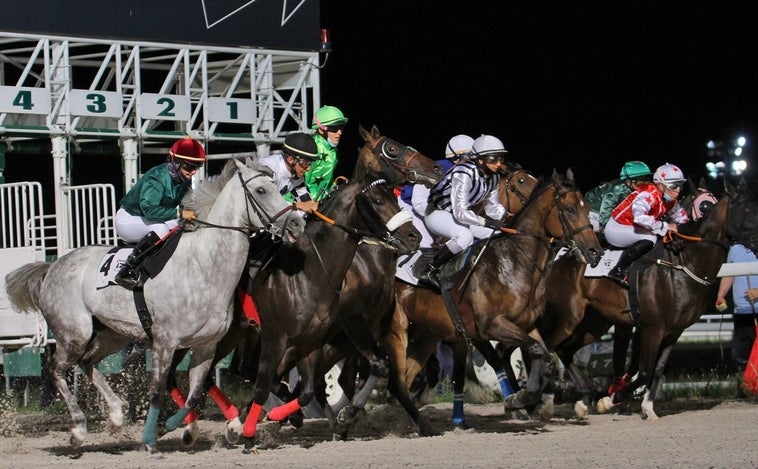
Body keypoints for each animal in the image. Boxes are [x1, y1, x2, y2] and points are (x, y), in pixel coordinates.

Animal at [3, 159, 306, 456]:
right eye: (261, 191)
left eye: (277, 188)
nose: (295, 222)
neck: (204, 267)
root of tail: (52, 267)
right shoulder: (164, 342)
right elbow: (157, 391)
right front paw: (152, 439)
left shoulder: (206, 345)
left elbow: (196, 392)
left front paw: (183, 428)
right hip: (73, 333)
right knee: (56, 370)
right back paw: (78, 429)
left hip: (112, 335)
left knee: (88, 363)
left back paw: (116, 415)